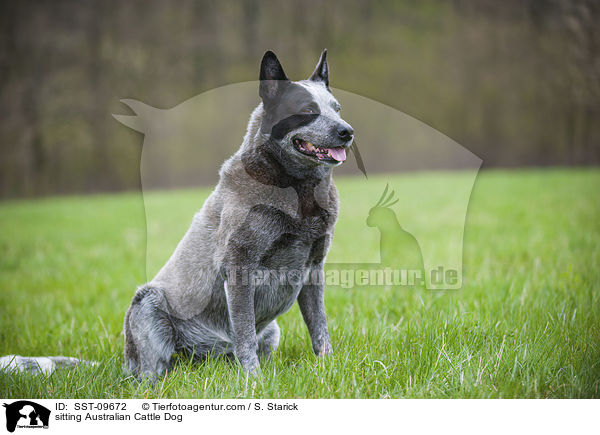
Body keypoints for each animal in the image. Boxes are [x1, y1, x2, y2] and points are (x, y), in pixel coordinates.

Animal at [123, 49, 354, 380]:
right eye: (308, 110)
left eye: (337, 109)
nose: (347, 131)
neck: (299, 193)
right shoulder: (238, 267)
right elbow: (244, 333)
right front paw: (253, 380)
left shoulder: (313, 269)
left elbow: (319, 326)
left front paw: (328, 367)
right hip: (148, 304)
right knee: (150, 374)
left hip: (272, 332)